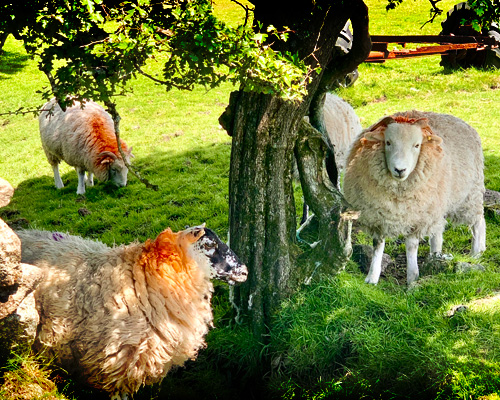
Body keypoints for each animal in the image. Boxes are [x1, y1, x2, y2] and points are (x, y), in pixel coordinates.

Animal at [344, 110, 484, 284]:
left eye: (417, 145)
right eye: (388, 142)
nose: (400, 170)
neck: (398, 193)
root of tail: (463, 122)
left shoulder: (416, 216)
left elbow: (411, 246)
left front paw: (412, 278)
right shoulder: (378, 215)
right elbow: (378, 245)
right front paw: (372, 277)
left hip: (469, 194)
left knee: (479, 221)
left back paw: (476, 252)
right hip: (437, 203)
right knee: (437, 231)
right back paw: (435, 255)